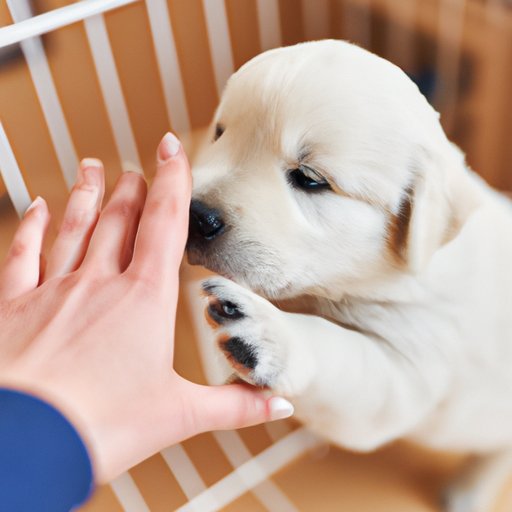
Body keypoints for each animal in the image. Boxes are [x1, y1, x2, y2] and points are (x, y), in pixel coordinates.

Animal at [186, 41, 512, 512]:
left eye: (310, 179)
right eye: (219, 133)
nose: (195, 216)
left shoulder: (415, 358)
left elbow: (344, 358)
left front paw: (269, 334)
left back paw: (470, 490)